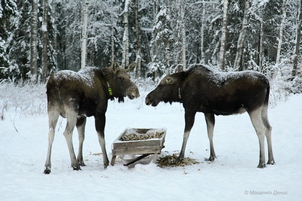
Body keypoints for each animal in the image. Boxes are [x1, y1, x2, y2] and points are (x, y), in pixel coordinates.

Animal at [146, 65, 276, 168]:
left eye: (161, 85)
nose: (147, 98)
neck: (181, 90)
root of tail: (267, 82)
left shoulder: (190, 109)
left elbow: (186, 134)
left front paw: (180, 156)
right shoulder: (208, 112)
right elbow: (210, 133)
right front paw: (212, 156)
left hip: (253, 108)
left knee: (260, 130)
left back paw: (261, 162)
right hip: (263, 107)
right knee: (269, 127)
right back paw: (271, 160)